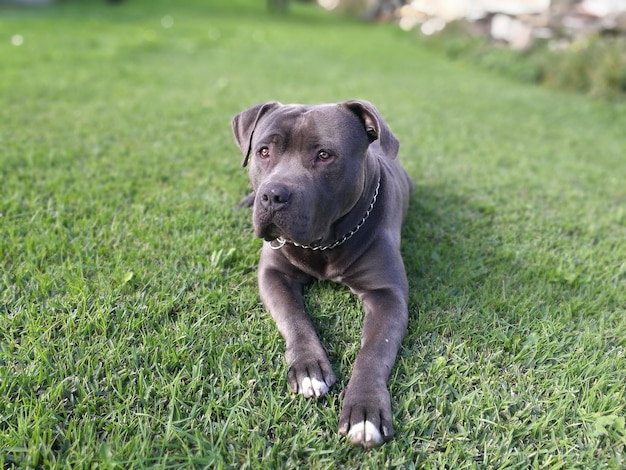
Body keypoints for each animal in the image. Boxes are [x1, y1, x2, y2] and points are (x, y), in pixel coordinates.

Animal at [232, 100, 412, 448]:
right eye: (263, 151)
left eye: (324, 155)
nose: (273, 195)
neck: (326, 242)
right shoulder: (273, 274)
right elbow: (294, 318)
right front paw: (308, 368)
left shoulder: (388, 296)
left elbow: (373, 351)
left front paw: (365, 409)